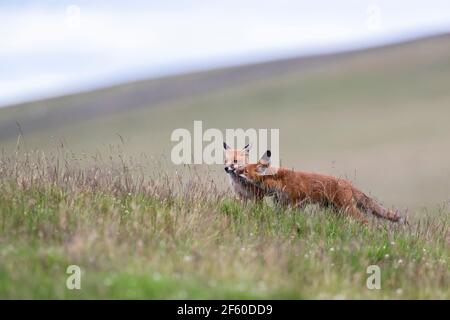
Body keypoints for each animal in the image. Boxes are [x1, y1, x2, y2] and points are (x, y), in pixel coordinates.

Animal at [236, 151, 404, 224]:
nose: (233, 170)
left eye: (244, 170)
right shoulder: (283, 202)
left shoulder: (296, 201)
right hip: (335, 210)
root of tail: (348, 183)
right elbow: (280, 214)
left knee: (365, 220)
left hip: (346, 208)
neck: (278, 181)